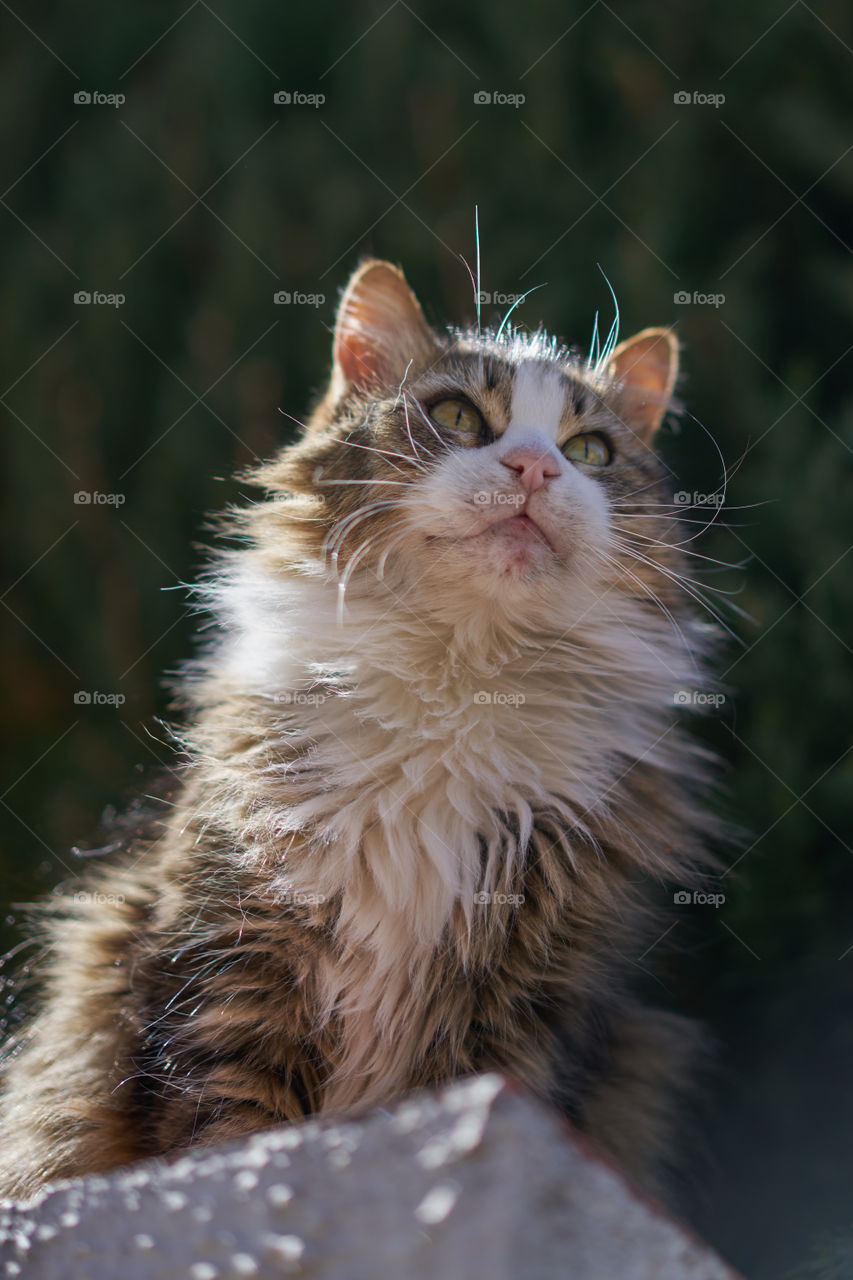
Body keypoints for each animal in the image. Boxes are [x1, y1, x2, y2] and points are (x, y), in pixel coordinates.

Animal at [0, 257, 717, 1198]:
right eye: (457, 416)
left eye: (589, 451)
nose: (533, 467)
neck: (459, 682)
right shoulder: (237, 962)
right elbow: (232, 1137)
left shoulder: (525, 997)